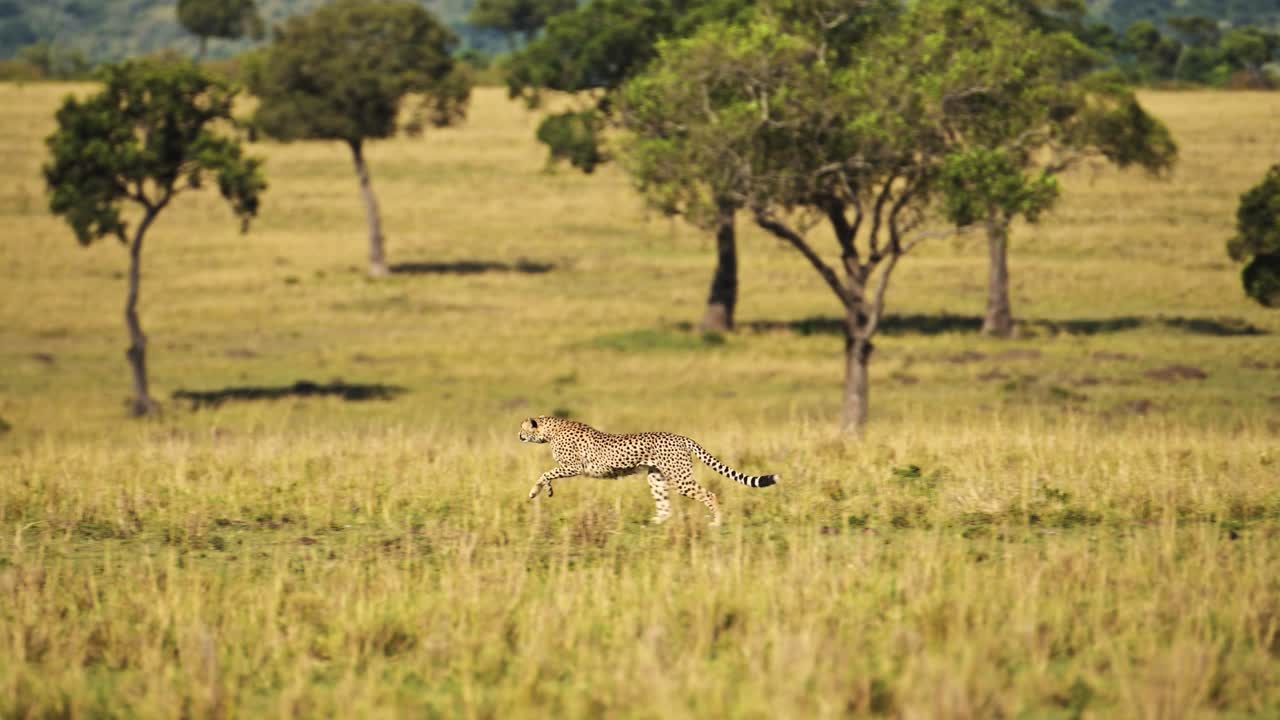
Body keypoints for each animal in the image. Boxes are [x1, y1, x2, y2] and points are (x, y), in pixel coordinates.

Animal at [518, 415, 778, 526]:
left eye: (523, 428)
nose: (518, 435)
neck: (551, 430)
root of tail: (681, 437)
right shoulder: (570, 468)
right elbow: (548, 476)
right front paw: (546, 491)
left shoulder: (573, 467)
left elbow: (545, 473)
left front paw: (535, 491)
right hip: (656, 477)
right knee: (665, 506)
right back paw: (655, 522)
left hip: (680, 479)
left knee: (709, 494)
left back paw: (716, 521)